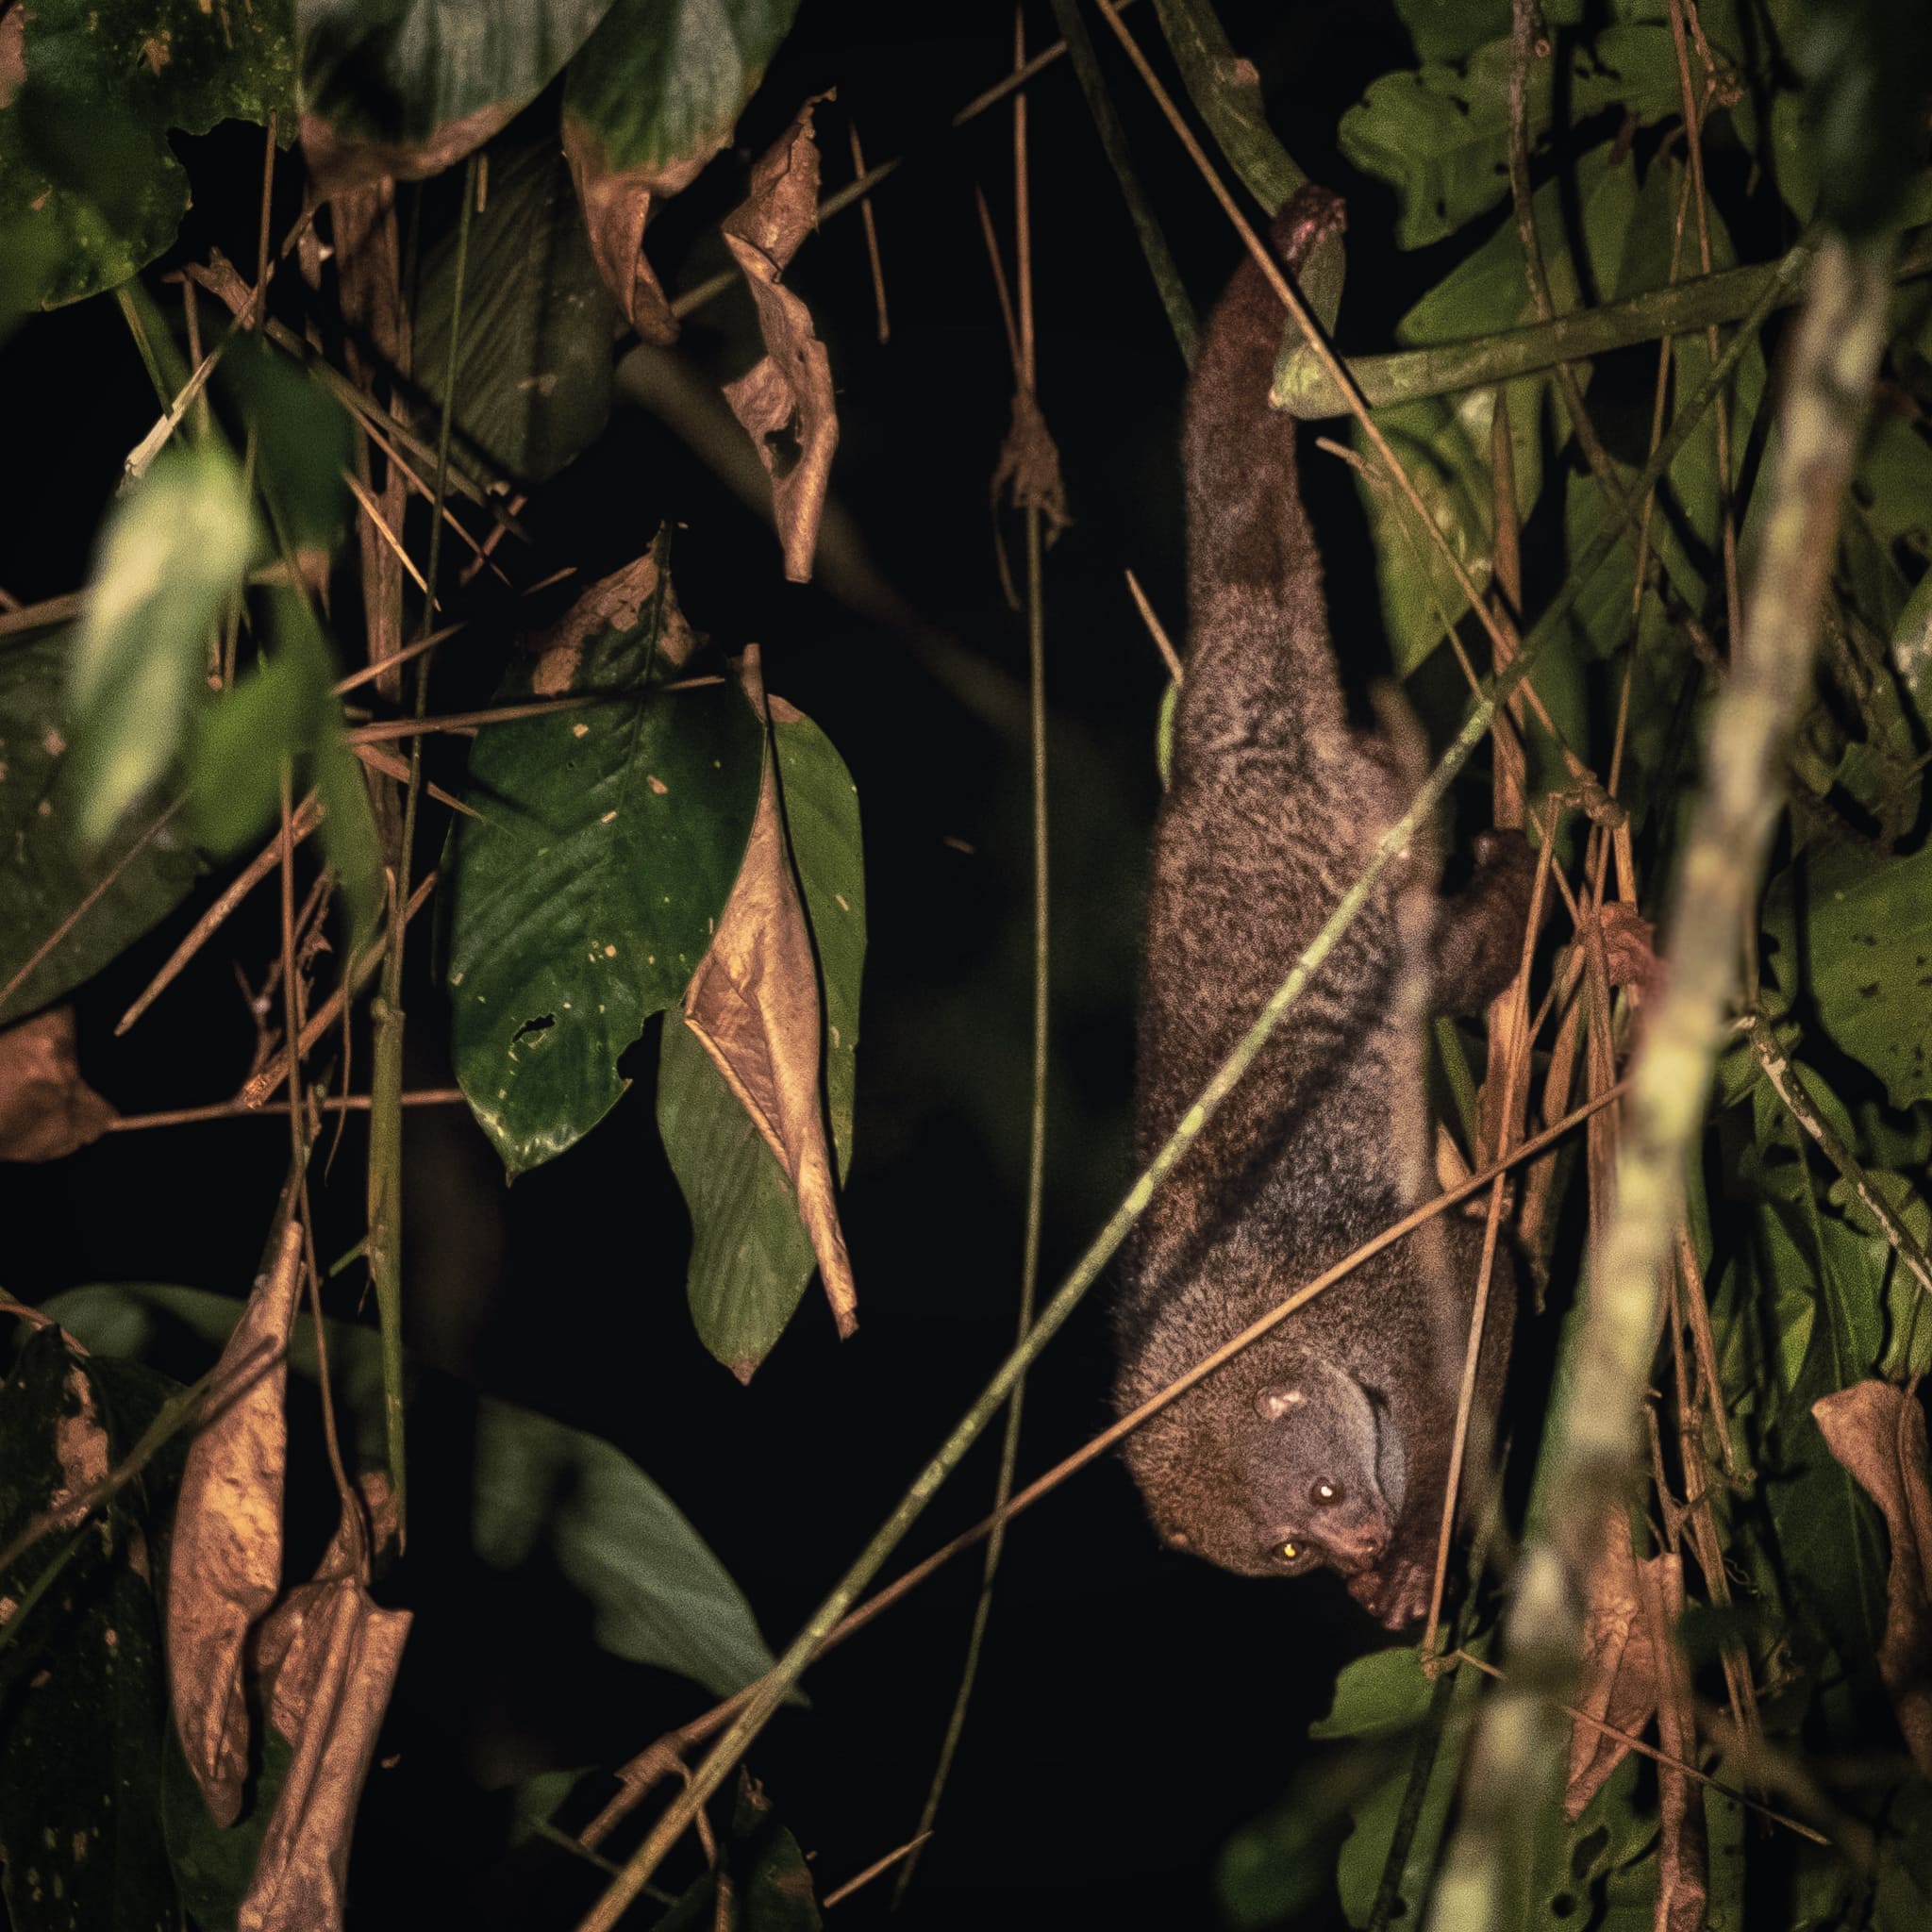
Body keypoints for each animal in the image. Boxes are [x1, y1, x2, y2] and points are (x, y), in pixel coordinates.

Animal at [1112, 187, 1536, 1630]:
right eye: (1290, 1551)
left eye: (1326, 1490)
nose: (1351, 1546)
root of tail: (1223, 744)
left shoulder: (1378, 1284)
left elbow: (1484, 1301)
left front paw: (1419, 1559)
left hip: (1359, 819)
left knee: (1446, 956)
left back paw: (1524, 861)